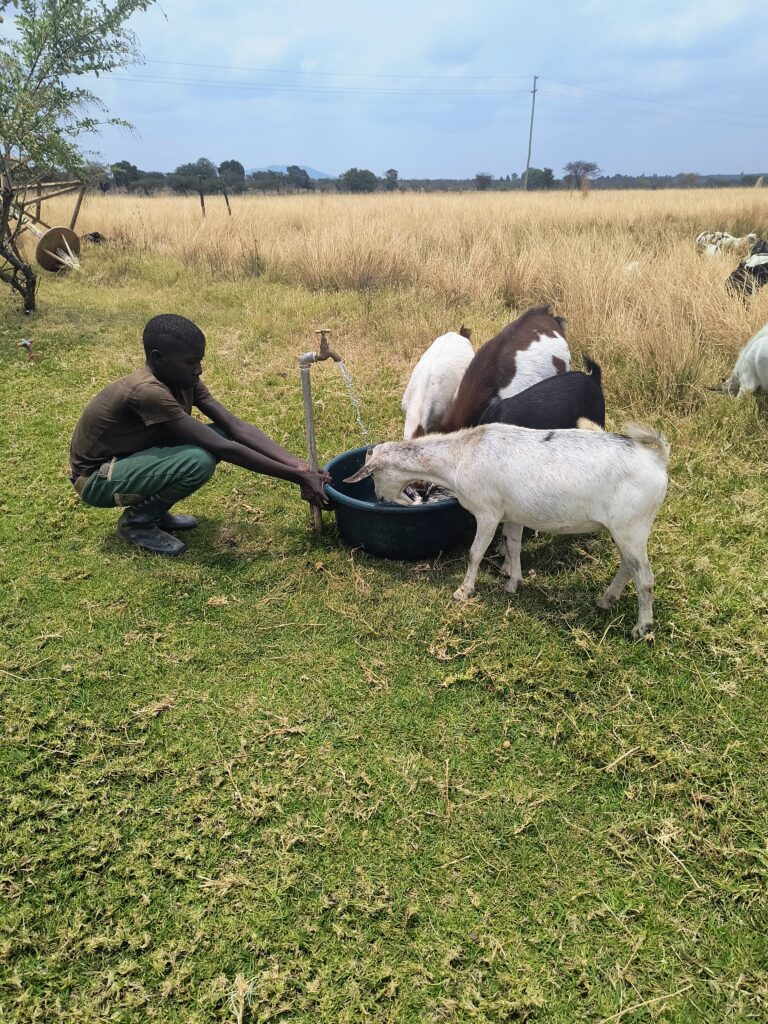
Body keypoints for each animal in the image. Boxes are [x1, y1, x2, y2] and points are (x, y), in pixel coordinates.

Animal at [345, 423, 669, 637]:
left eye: (374, 475)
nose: (381, 499)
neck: (461, 454)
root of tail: (657, 461)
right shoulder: (512, 514)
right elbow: (513, 545)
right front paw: (513, 583)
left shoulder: (488, 512)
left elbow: (475, 553)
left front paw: (463, 591)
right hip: (624, 529)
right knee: (628, 566)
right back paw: (606, 600)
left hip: (631, 526)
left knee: (645, 578)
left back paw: (641, 627)